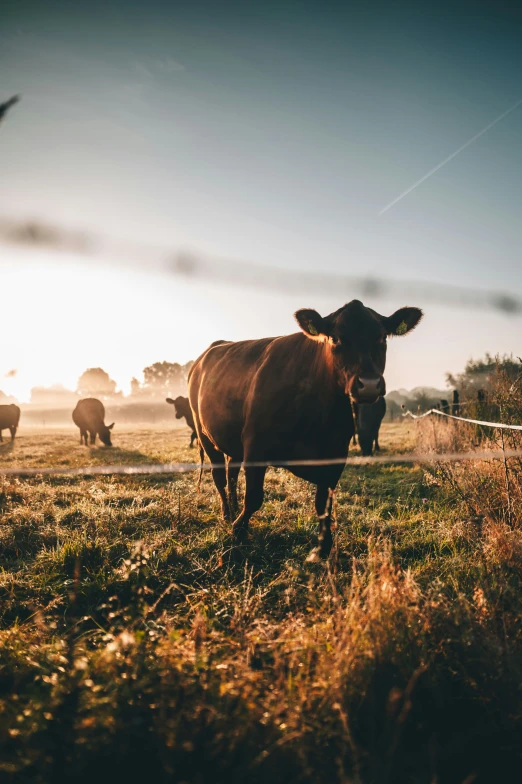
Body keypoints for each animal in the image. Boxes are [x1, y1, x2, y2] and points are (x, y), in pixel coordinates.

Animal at [189, 298, 420, 560]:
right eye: (336, 338)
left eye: (381, 337)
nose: (369, 384)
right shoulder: (255, 447)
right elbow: (255, 497)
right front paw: (238, 531)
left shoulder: (335, 456)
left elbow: (323, 504)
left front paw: (323, 547)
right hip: (204, 433)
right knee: (219, 476)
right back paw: (228, 514)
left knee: (231, 474)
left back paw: (233, 508)